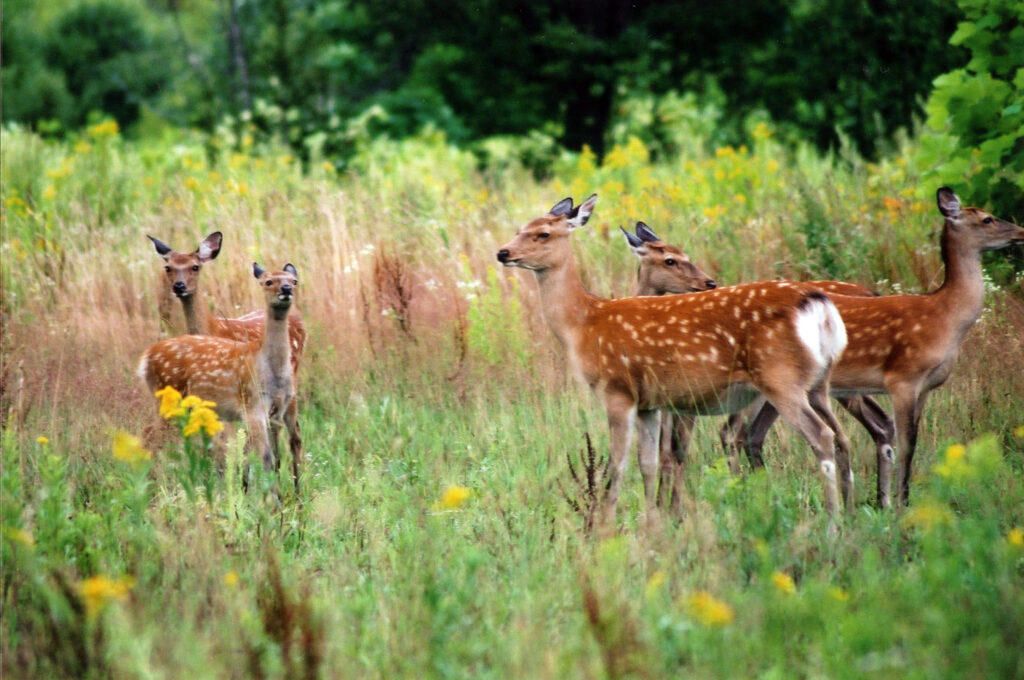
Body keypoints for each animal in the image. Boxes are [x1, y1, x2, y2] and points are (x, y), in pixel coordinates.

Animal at [148, 231, 305, 491]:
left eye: (195, 266)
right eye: (168, 267)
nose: (179, 287)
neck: (211, 328)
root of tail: (299, 318)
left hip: (292, 386)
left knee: (295, 437)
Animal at [499, 193, 851, 528]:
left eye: (543, 233)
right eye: (519, 229)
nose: (503, 252)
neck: (585, 324)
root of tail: (819, 307)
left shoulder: (618, 391)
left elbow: (618, 466)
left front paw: (604, 528)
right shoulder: (649, 403)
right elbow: (650, 464)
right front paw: (652, 526)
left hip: (781, 378)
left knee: (820, 435)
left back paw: (832, 525)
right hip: (818, 383)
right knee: (839, 436)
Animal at [614, 222, 897, 510]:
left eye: (685, 255)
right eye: (669, 260)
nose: (709, 283)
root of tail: (872, 291)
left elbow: (678, 451)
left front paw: (673, 510)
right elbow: (666, 451)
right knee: (864, 426)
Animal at [737, 188, 1024, 507]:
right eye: (987, 219)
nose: (1021, 232)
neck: (943, 316)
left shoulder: (926, 386)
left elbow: (910, 438)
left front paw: (894, 500)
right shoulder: (903, 378)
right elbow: (907, 442)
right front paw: (901, 503)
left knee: (754, 435)